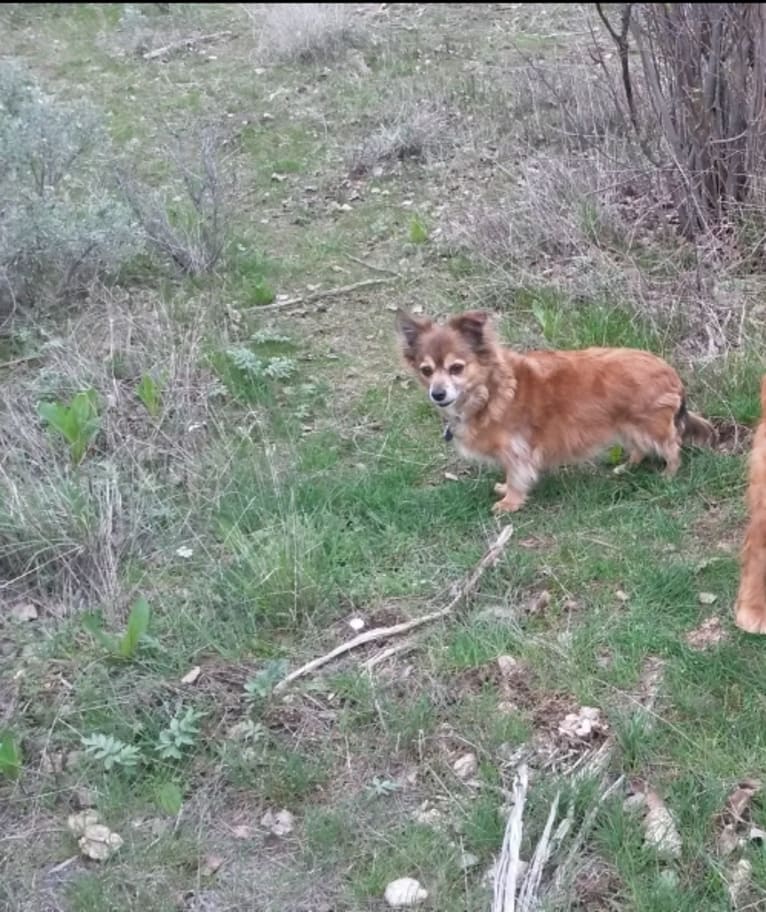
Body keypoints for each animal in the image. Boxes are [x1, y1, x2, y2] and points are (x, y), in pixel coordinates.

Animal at [400, 310, 716, 512]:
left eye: (456, 368)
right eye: (426, 371)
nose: (437, 393)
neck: (489, 391)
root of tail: (670, 372)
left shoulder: (516, 450)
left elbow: (517, 477)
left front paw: (510, 502)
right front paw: (504, 490)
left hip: (649, 425)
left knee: (673, 447)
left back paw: (669, 475)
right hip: (625, 425)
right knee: (639, 448)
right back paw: (626, 467)